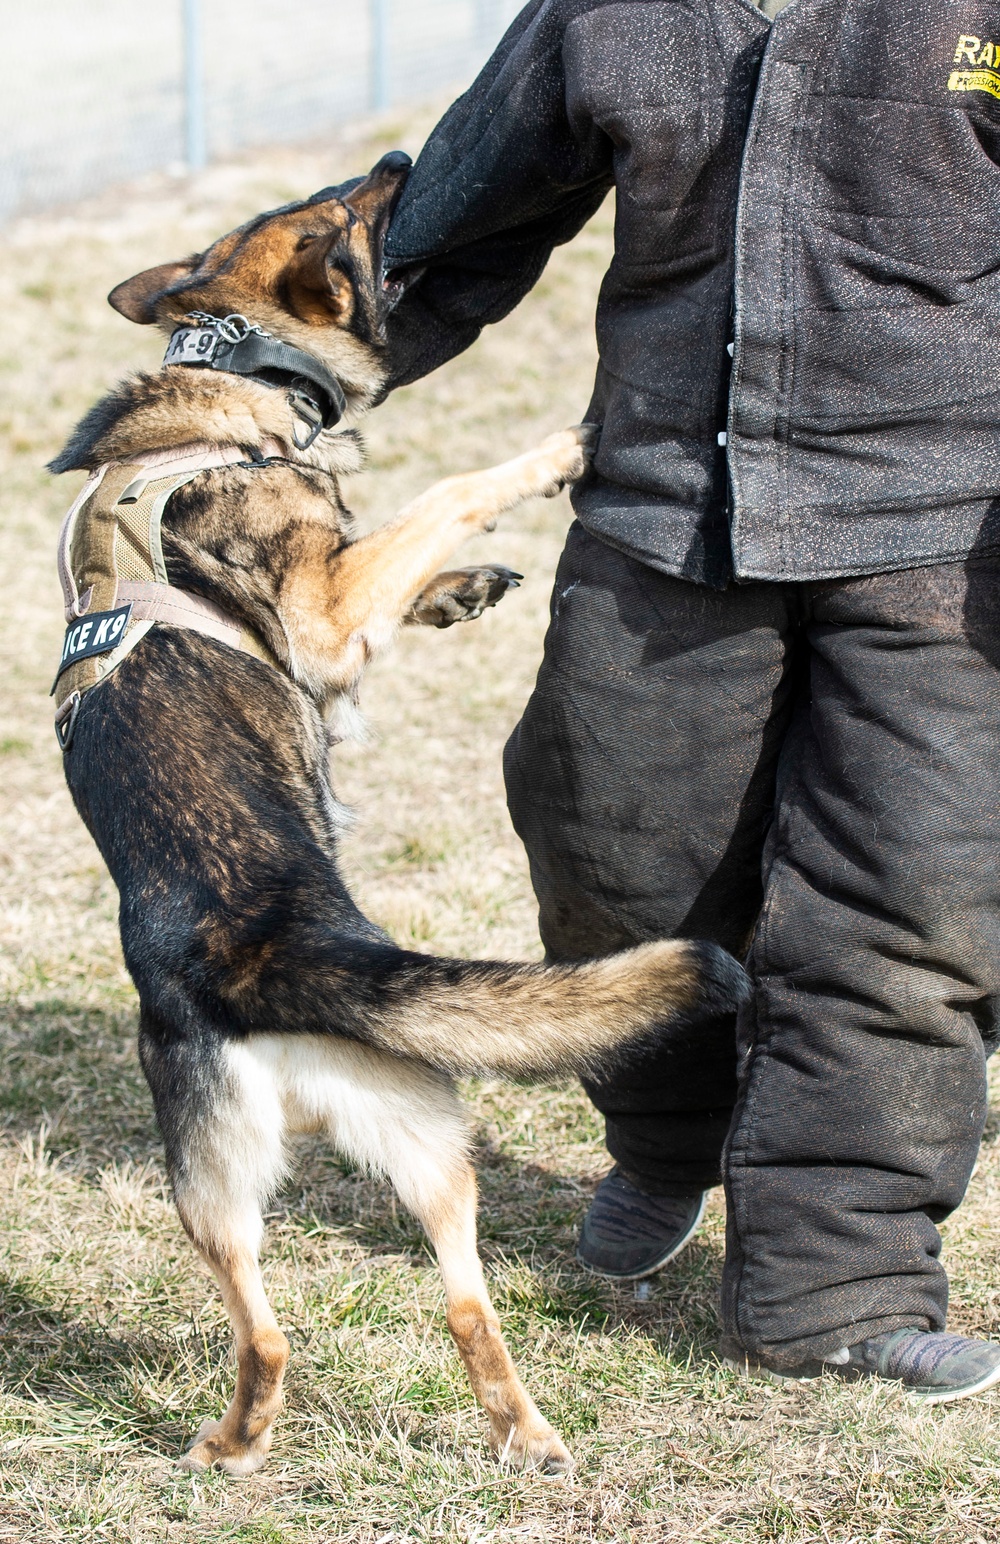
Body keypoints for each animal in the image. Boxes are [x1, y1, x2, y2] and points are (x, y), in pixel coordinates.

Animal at [48, 150, 750, 1476]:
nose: (398, 161)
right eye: (347, 211)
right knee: (338, 1323)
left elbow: (410, 549)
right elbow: (443, 492)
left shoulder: (341, 605)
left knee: (392, 1311)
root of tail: (271, 962)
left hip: (358, 1157)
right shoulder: (321, 608)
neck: (232, 369)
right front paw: (556, 452)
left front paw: (457, 587)